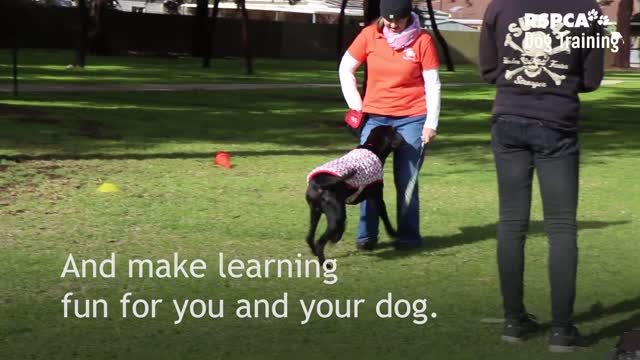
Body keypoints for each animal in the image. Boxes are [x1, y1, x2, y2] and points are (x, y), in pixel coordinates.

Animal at [306, 125, 404, 262]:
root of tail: (317, 183)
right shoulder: (377, 198)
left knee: (310, 237)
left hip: (315, 212)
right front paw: (393, 233)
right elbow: (384, 216)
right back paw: (326, 261)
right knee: (320, 242)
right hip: (336, 215)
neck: (372, 147)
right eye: (394, 130)